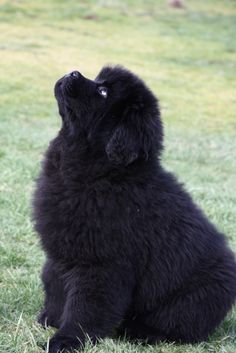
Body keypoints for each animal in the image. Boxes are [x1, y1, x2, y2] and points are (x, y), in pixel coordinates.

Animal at [33, 65, 236, 350]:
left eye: (103, 92)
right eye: (99, 80)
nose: (73, 72)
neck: (102, 172)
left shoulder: (102, 264)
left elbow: (86, 306)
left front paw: (67, 339)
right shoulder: (62, 251)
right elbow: (55, 285)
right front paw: (50, 318)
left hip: (198, 296)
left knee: (179, 325)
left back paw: (140, 332)